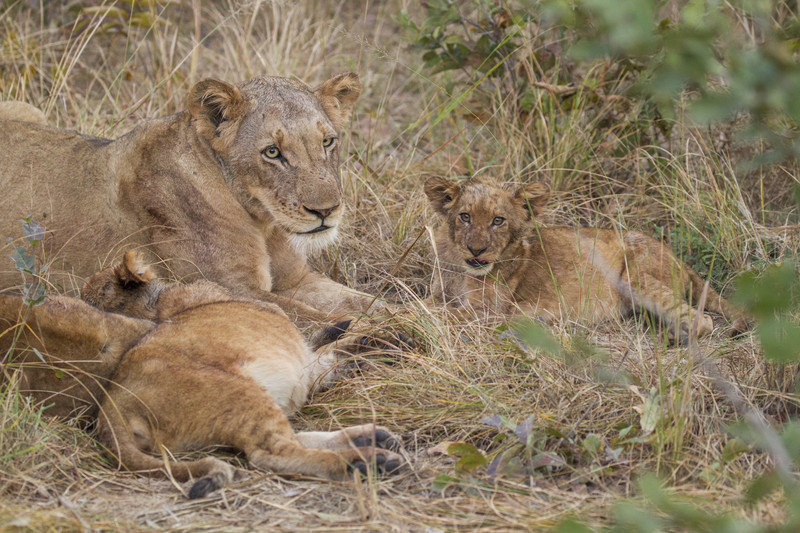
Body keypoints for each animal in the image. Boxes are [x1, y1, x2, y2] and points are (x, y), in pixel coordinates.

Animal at [0, 73, 372, 323]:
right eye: (272, 152)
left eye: (327, 142)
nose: (326, 210)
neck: (263, 222)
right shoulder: (232, 288)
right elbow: (327, 318)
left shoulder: (297, 278)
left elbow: (364, 303)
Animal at [1, 252, 403, 498]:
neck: (157, 307)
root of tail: (110, 409)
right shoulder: (299, 354)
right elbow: (329, 345)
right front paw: (376, 336)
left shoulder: (304, 367)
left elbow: (331, 353)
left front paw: (373, 341)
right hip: (238, 392)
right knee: (272, 453)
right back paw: (366, 461)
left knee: (291, 438)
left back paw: (372, 438)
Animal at [424, 176, 748, 341]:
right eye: (465, 216)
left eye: (498, 221)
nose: (476, 250)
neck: (461, 269)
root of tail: (681, 260)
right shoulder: (441, 294)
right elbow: (430, 305)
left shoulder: (488, 313)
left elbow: (433, 313)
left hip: (635, 277)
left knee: (703, 320)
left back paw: (677, 337)